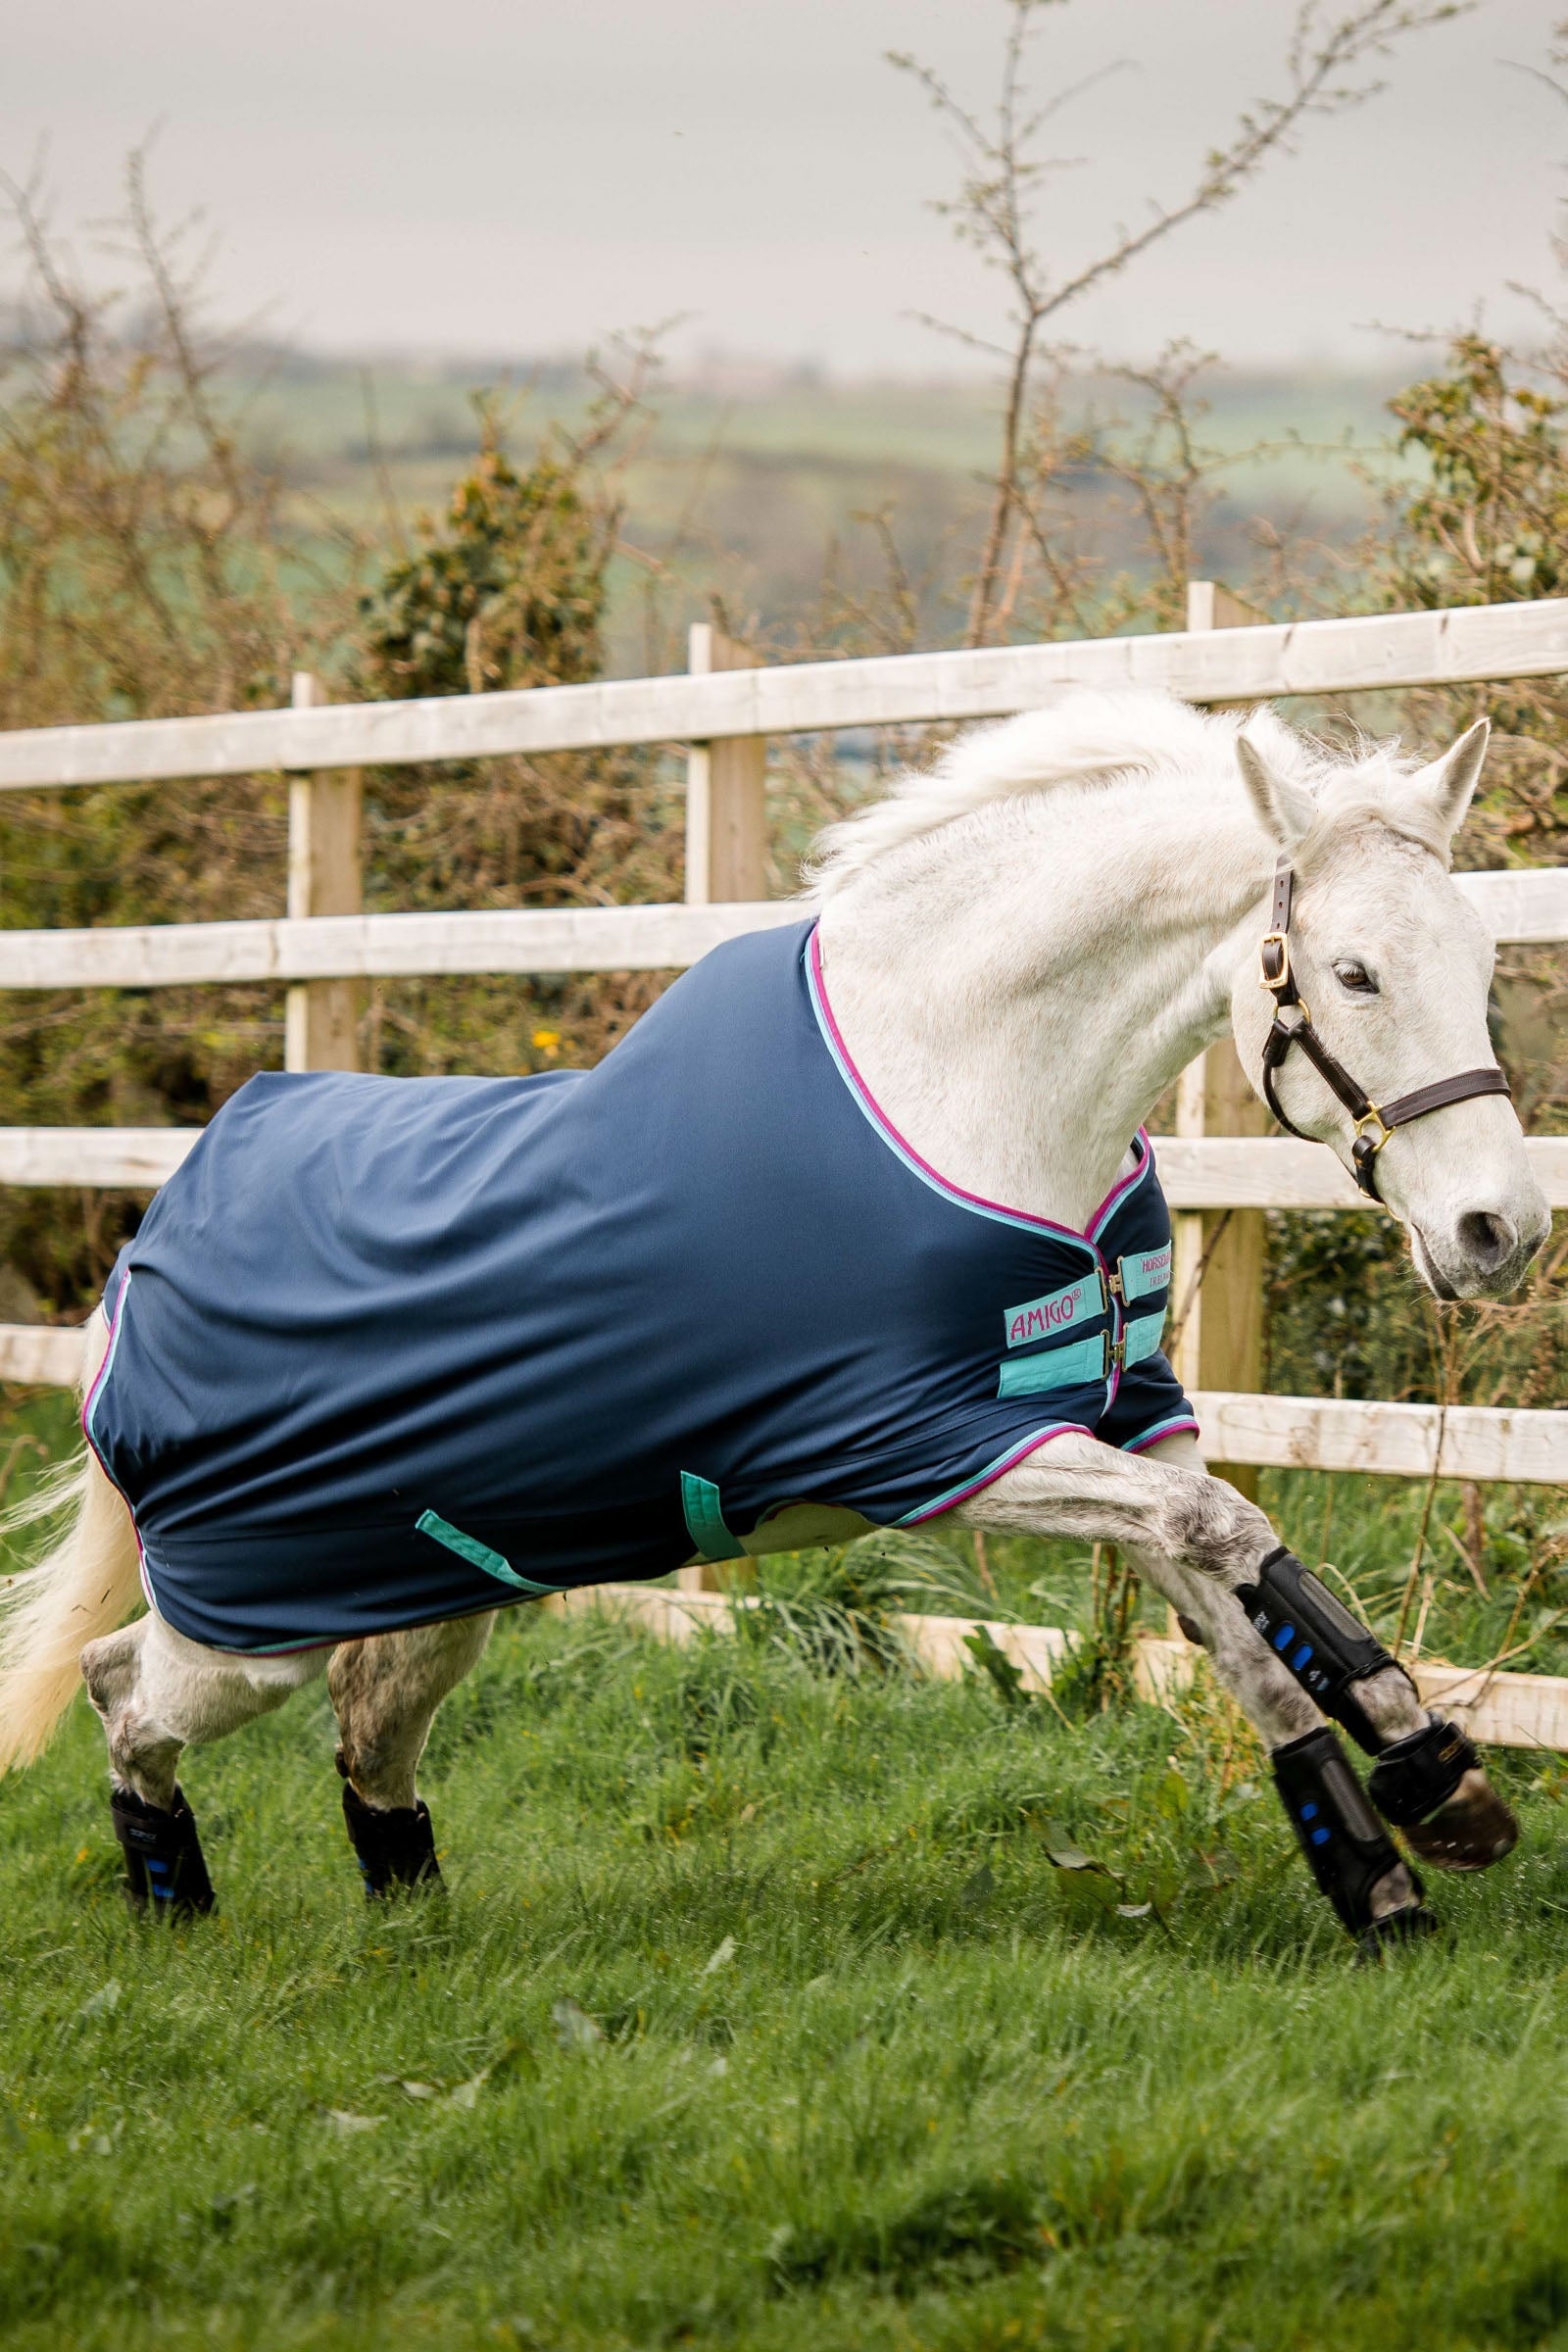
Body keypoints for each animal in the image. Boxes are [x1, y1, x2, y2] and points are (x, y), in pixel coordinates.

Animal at [0, 688, 1548, 1947]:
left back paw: (411, 1922)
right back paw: (174, 1916)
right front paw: (1428, 1781)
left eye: (1478, 962)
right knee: (121, 1691)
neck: (965, 1092)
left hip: (422, 1590)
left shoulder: (1117, 1424)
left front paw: (1397, 1855)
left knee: (365, 1731)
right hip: (247, 1626)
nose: (1499, 1233)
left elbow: (1237, 1605)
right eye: (1351, 973)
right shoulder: (932, 1455)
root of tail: (144, 1257)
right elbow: (1233, 1544)